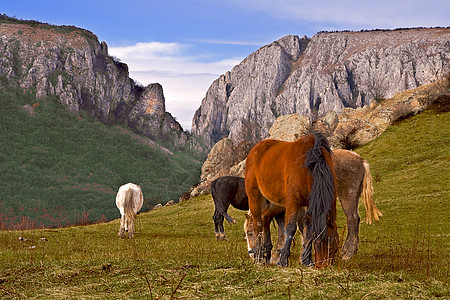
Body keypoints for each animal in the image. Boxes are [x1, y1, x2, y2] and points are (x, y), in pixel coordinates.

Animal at [246, 132, 338, 268]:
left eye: (332, 240)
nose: (322, 265)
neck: (310, 166)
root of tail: (255, 149)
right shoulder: (293, 202)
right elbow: (290, 228)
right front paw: (283, 260)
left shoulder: (308, 205)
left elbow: (307, 229)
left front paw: (306, 260)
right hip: (254, 194)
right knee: (257, 223)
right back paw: (259, 257)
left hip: (273, 201)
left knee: (265, 218)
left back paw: (266, 253)